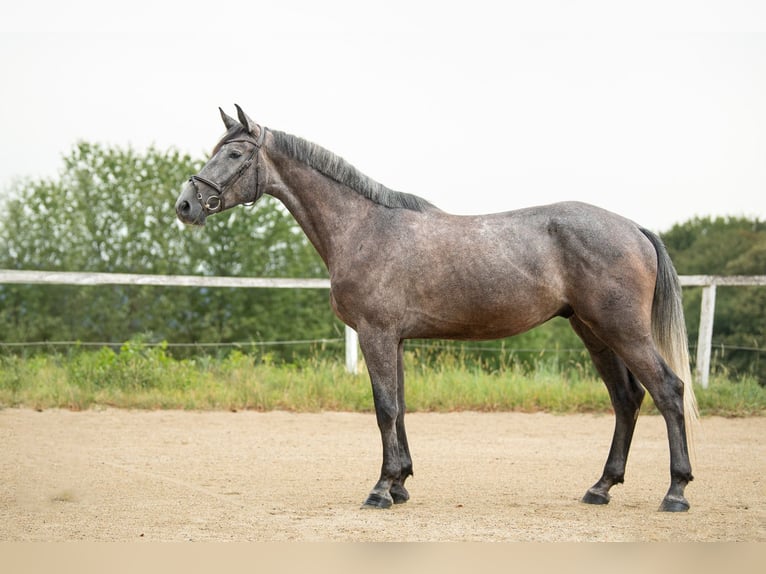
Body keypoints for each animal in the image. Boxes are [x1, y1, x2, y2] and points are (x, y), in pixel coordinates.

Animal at [176, 106, 704, 516]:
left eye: (235, 154)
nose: (186, 205)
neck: (364, 227)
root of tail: (634, 227)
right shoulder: (394, 339)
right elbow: (400, 407)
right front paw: (401, 483)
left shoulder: (376, 334)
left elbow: (384, 408)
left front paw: (380, 490)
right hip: (593, 331)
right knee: (626, 399)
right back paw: (601, 487)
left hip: (623, 330)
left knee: (668, 390)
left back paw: (676, 492)